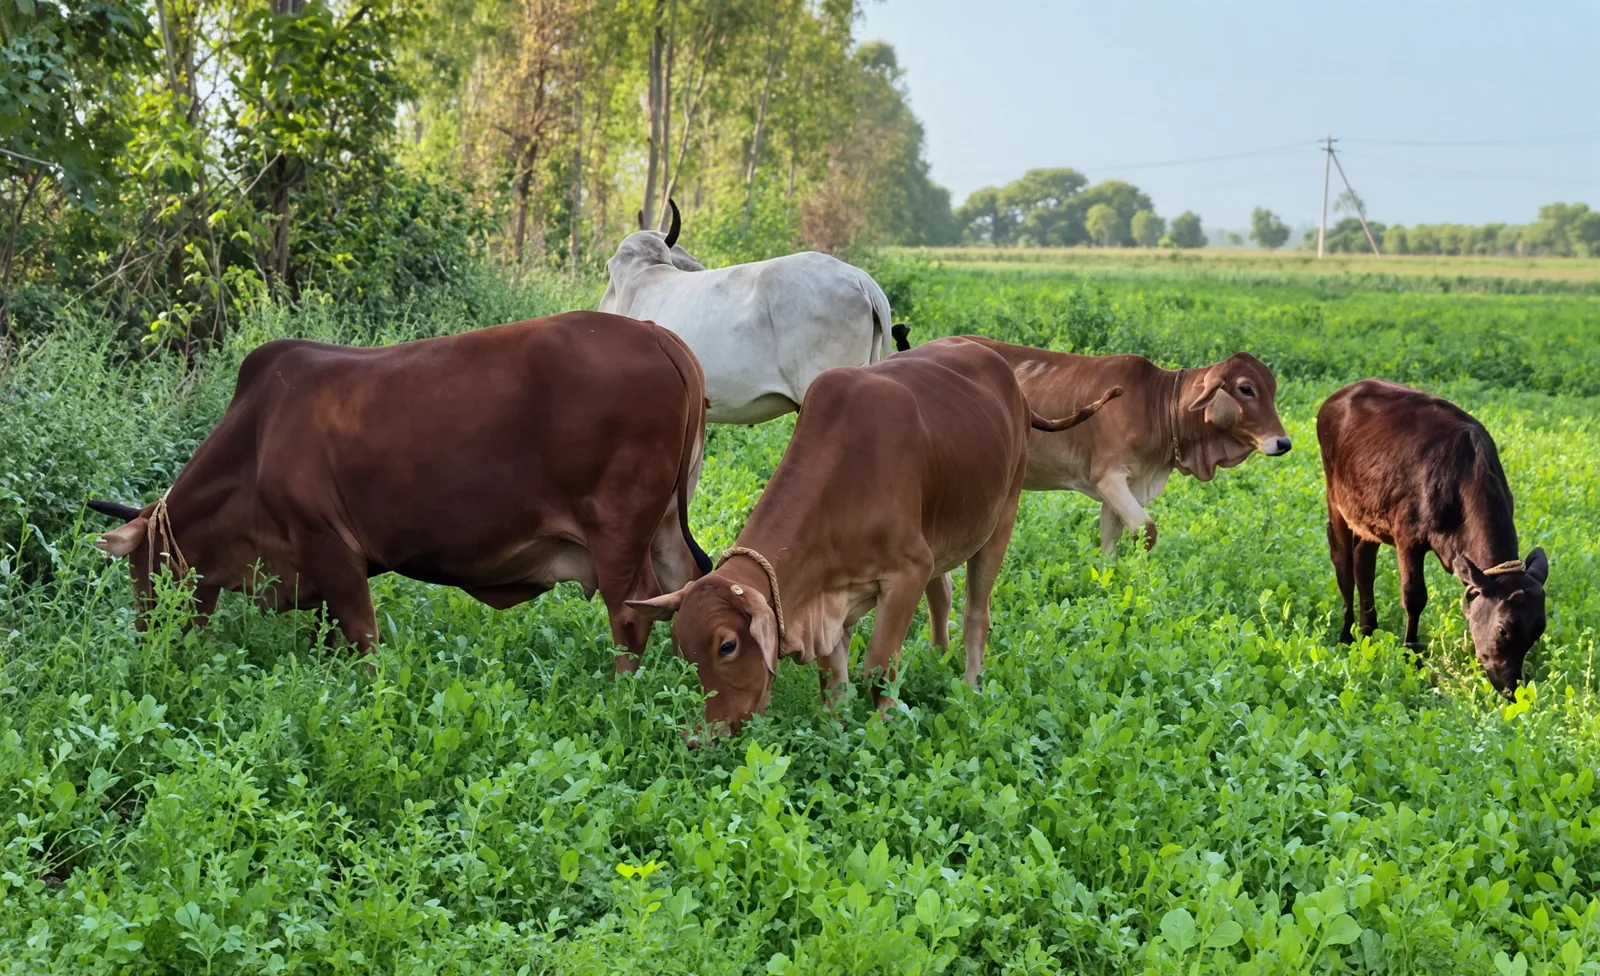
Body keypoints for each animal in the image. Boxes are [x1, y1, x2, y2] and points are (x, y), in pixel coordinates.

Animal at [86, 311, 712, 672]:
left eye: (143, 572)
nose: (147, 638)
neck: (254, 442)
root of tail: (659, 335)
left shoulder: (326, 544)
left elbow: (362, 637)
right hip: (662, 527)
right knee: (686, 587)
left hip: (617, 530)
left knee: (631, 612)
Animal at [627, 336, 1121, 736]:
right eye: (681, 650)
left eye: (727, 645)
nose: (700, 736)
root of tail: (1006, 375)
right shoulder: (833, 598)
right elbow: (834, 677)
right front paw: (835, 728)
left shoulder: (906, 571)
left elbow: (879, 666)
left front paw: (880, 728)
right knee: (942, 591)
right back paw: (937, 657)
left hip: (1002, 516)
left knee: (976, 614)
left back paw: (970, 685)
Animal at [960, 338, 1291, 554]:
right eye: (1246, 388)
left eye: (1272, 388)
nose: (1284, 442)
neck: (1159, 406)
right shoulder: (1109, 477)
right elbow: (1147, 531)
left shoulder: (1124, 488)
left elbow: (1110, 539)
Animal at [1317, 380, 1548, 695]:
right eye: (1503, 629)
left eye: (1537, 631)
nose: (1510, 687)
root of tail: (1341, 393)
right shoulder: (1407, 536)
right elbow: (1414, 597)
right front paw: (1410, 656)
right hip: (1337, 500)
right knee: (1343, 564)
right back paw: (1346, 635)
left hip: (1369, 516)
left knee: (1363, 562)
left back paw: (1368, 630)